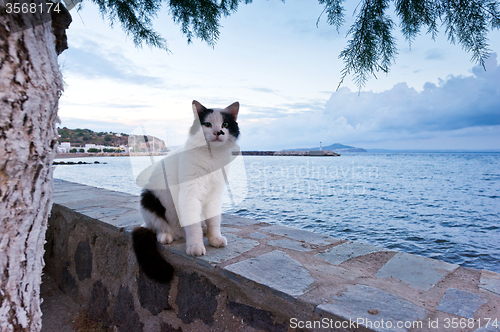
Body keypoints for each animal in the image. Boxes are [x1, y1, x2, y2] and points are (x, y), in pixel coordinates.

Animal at [131, 99, 240, 282]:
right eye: (208, 124)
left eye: (225, 124)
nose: (218, 132)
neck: (211, 157)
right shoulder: (190, 195)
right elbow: (193, 226)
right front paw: (195, 246)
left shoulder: (214, 195)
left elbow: (214, 221)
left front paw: (214, 239)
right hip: (147, 199)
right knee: (157, 227)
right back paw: (166, 236)